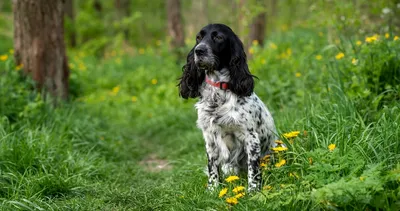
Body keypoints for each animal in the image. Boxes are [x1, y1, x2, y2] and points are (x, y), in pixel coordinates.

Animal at [179, 23, 278, 191]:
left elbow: (253, 168)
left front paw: (253, 190)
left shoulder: (251, 137)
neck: (218, 94)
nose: (199, 50)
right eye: (198, 37)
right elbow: (212, 167)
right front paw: (213, 189)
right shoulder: (210, 138)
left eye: (219, 37)